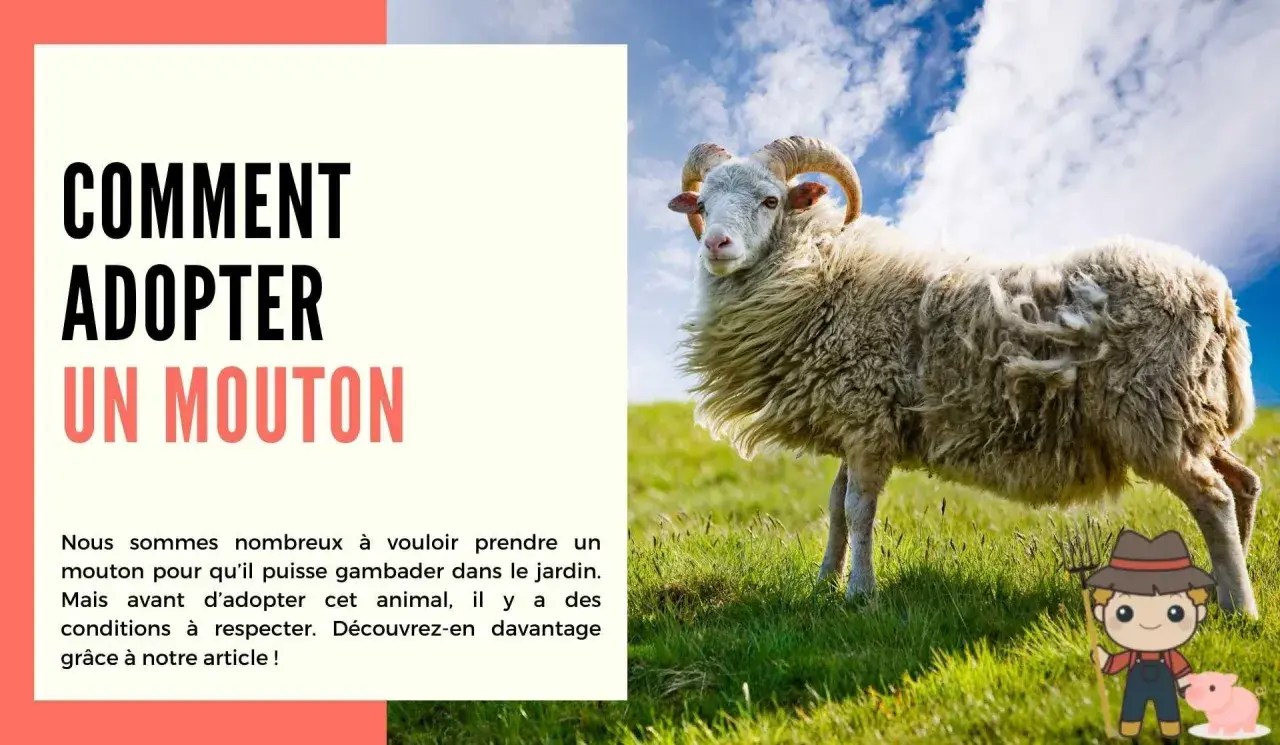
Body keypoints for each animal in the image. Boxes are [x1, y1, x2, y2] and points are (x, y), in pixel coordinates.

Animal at [666, 135, 1262, 616]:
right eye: (703, 204)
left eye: (771, 200)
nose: (715, 244)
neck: (823, 274)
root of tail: (1217, 294)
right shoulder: (854, 421)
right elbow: (835, 509)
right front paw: (823, 585)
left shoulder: (867, 420)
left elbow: (858, 510)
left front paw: (861, 595)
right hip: (1191, 414)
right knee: (1243, 483)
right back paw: (1219, 587)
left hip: (1154, 412)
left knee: (1213, 498)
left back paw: (1240, 609)